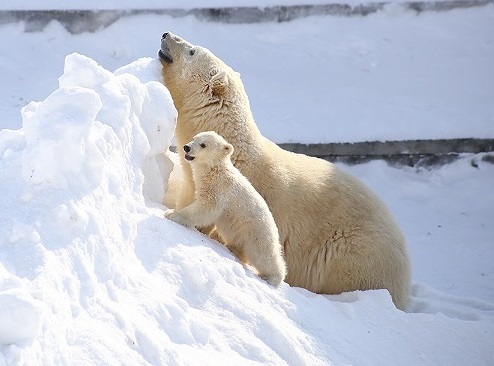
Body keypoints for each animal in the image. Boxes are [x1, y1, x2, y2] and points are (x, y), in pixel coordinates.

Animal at [165, 131, 286, 286]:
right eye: (194, 138)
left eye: (203, 144)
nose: (186, 147)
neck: (215, 171)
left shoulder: (220, 189)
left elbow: (207, 208)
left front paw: (172, 214)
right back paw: (232, 248)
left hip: (256, 231)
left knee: (263, 255)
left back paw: (272, 277)